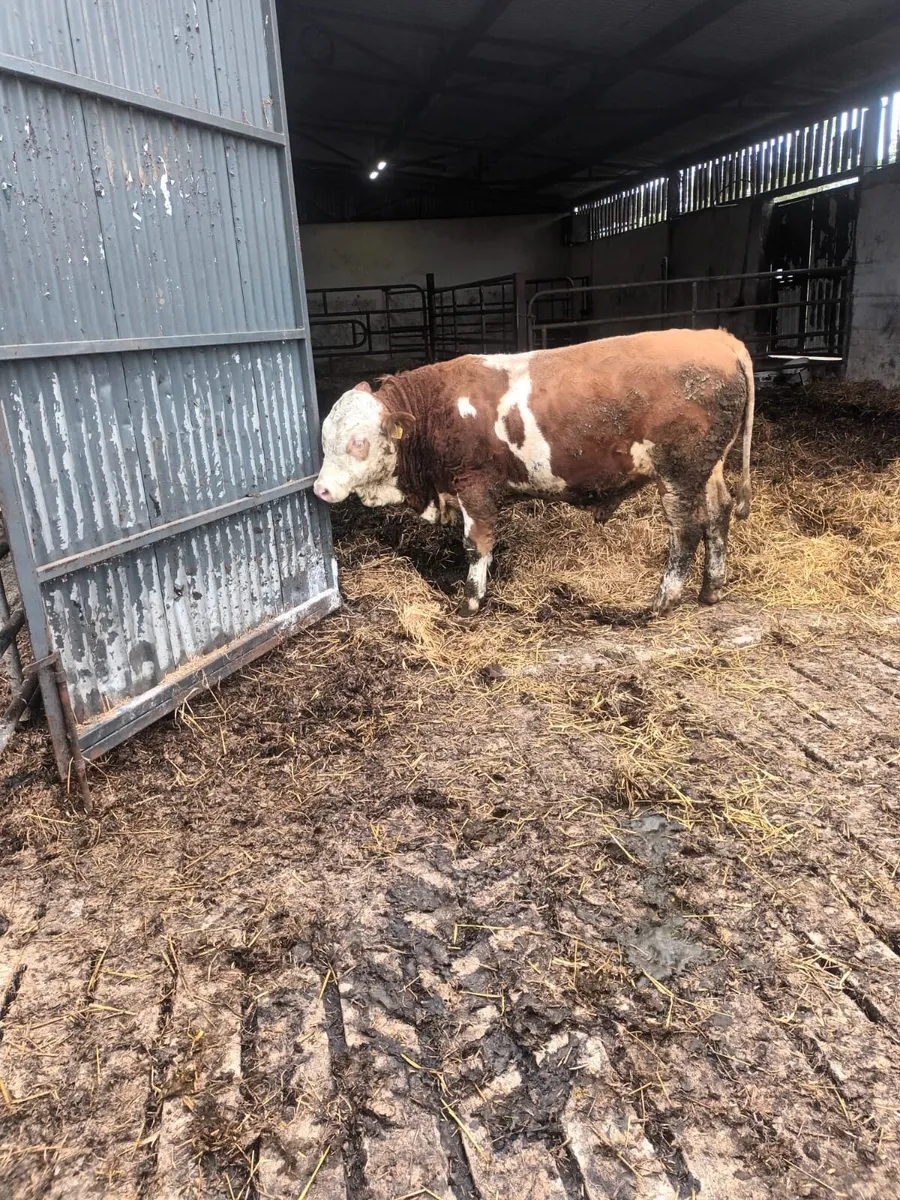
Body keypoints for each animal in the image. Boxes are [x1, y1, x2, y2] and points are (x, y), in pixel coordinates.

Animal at [313, 328, 755, 618]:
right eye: (324, 438)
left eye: (358, 441)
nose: (321, 489)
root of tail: (718, 337)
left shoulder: (473, 485)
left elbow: (476, 545)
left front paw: (470, 603)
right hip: (708, 466)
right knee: (719, 514)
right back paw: (711, 589)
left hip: (678, 471)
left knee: (686, 530)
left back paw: (664, 600)